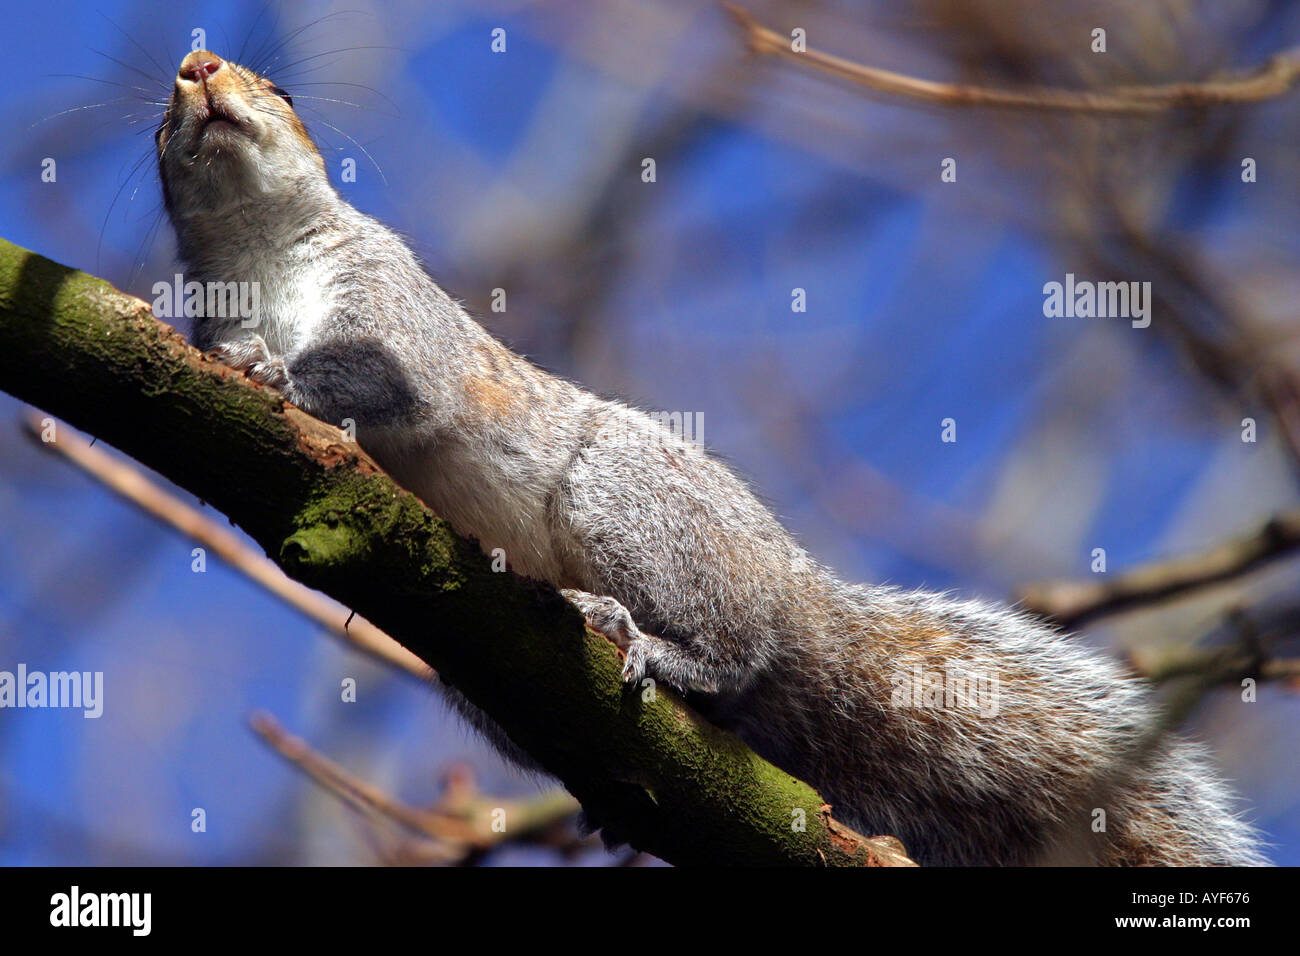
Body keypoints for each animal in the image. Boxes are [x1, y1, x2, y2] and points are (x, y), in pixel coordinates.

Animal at [155, 49, 1267, 866]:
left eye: (284, 91)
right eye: (160, 124)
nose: (199, 66)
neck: (261, 256)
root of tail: (795, 591)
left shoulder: (397, 308)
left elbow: (387, 380)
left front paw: (279, 375)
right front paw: (247, 361)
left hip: (628, 500)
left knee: (732, 652)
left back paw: (642, 636)